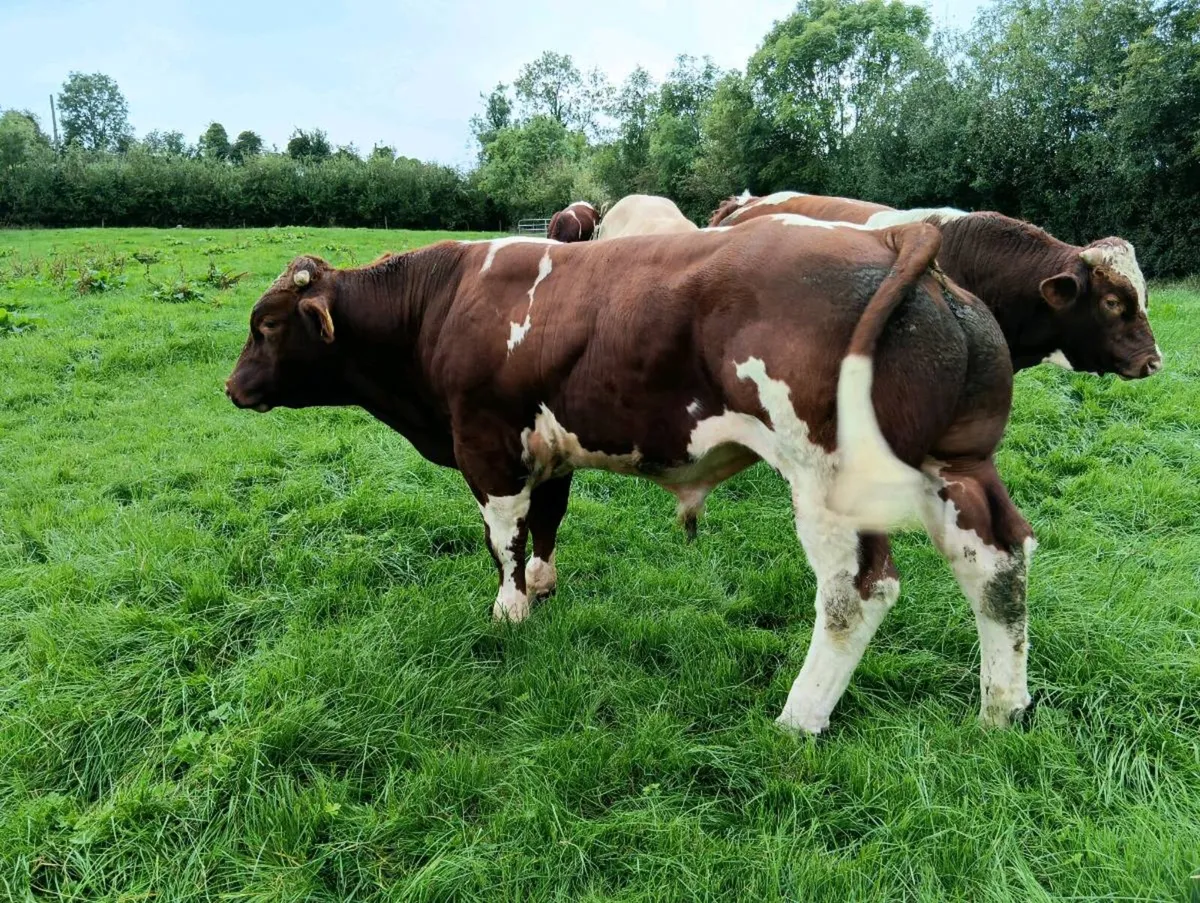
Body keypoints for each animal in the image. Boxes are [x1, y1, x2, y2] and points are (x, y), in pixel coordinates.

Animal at [228, 215, 1043, 735]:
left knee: (855, 592)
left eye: (267, 325)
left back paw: (798, 718)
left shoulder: (486, 444)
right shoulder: (549, 443)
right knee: (998, 561)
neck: (443, 301)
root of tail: (891, 236)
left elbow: (504, 537)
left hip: (826, 479)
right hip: (959, 463)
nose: (232, 389)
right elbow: (548, 520)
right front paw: (544, 589)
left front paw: (510, 611)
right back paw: (1000, 708)